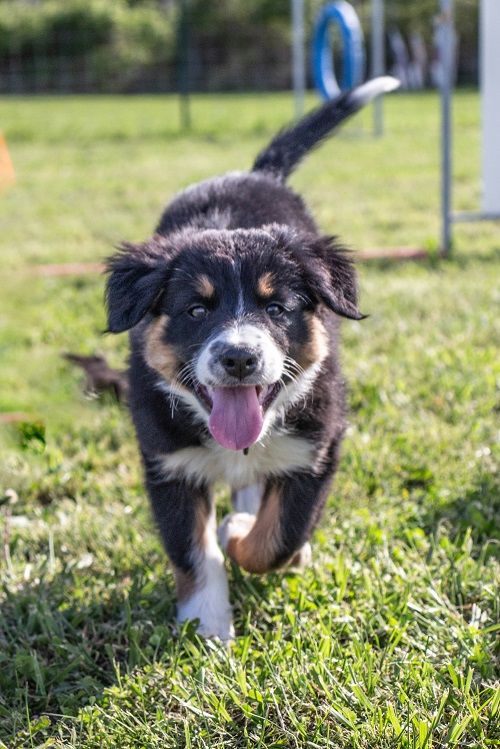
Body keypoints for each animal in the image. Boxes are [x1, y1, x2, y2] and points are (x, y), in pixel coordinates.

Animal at [105, 76, 398, 640]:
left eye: (277, 308)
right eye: (196, 310)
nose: (240, 358)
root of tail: (254, 173)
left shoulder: (316, 448)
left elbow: (278, 538)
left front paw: (243, 534)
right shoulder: (167, 462)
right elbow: (193, 551)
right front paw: (208, 625)